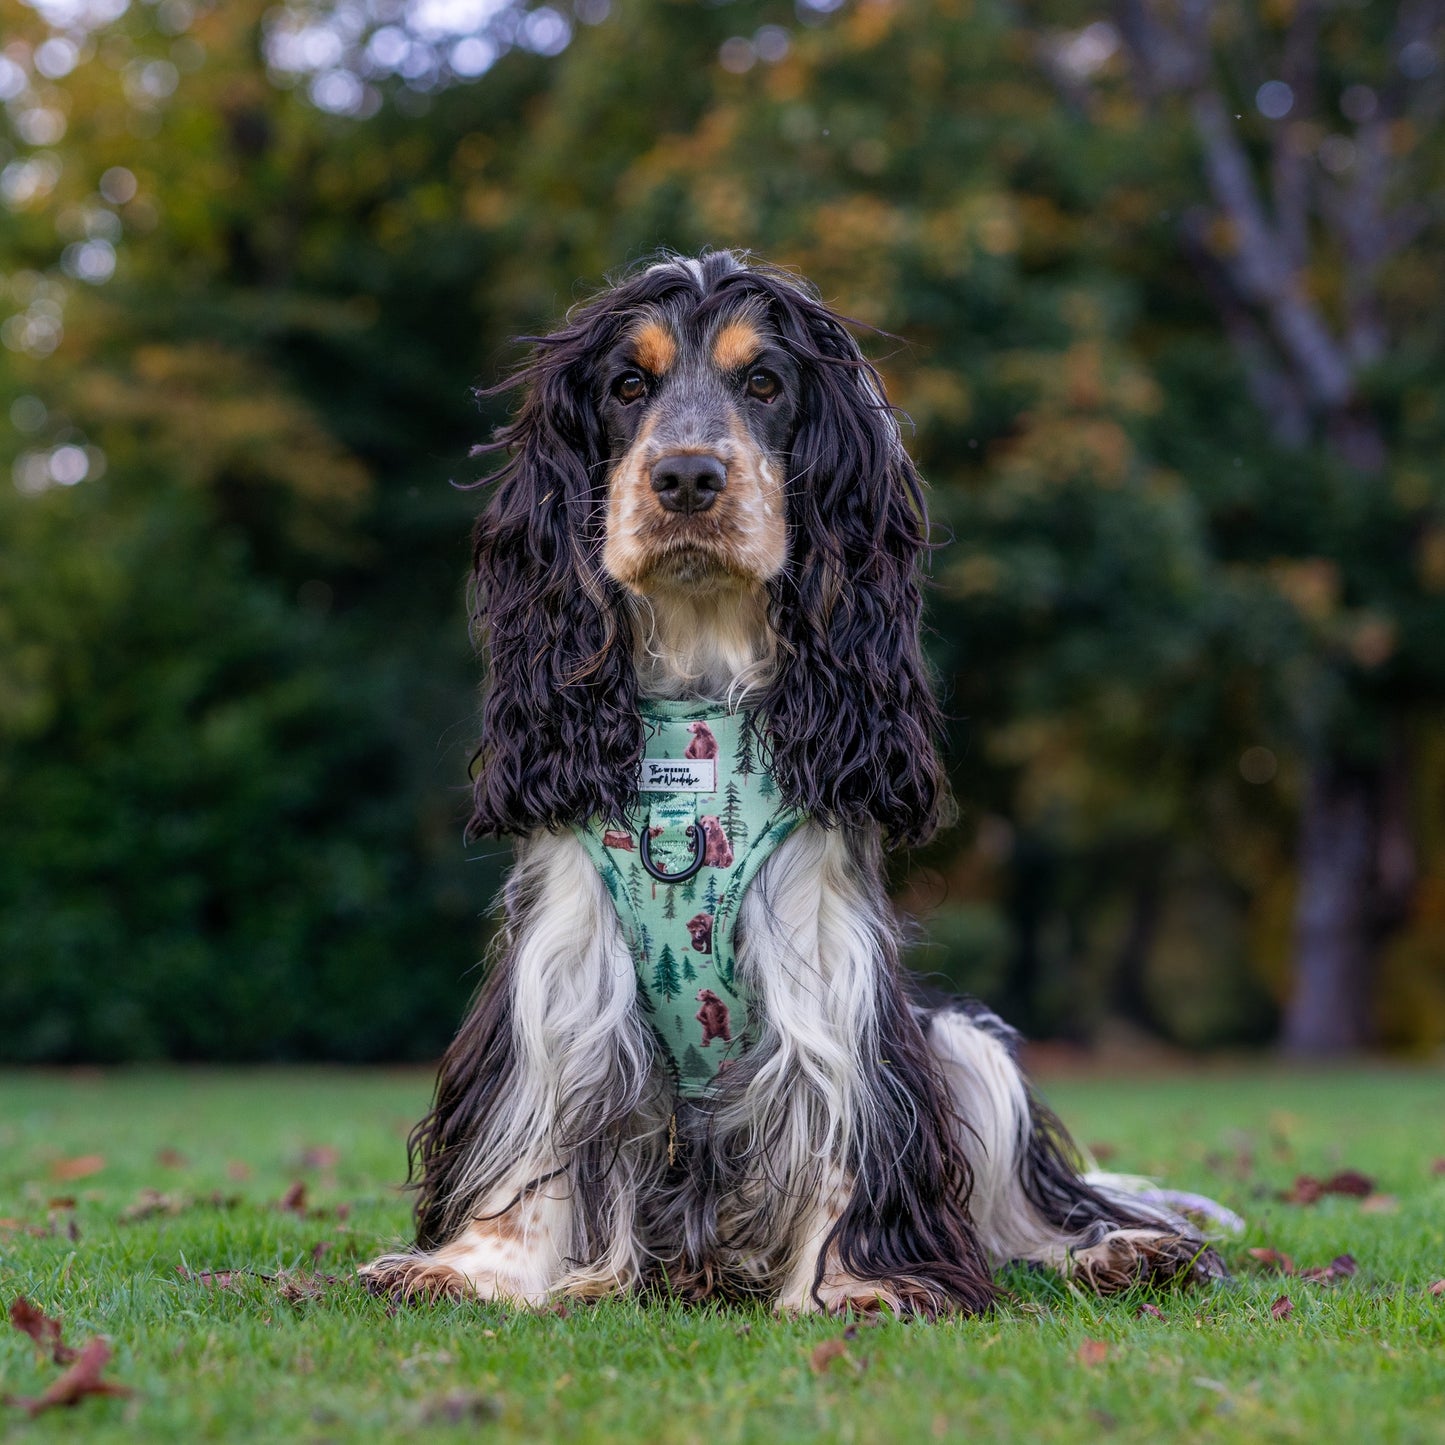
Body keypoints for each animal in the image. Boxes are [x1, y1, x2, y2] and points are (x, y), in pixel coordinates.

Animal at [358, 251, 1219, 1323]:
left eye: (764, 383)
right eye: (627, 386)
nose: (687, 476)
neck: (697, 706)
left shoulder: (828, 965)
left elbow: (840, 1126)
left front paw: (854, 1281)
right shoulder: (566, 955)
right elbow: (535, 1117)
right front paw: (474, 1267)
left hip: (961, 1045)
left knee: (1031, 1214)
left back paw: (1121, 1251)